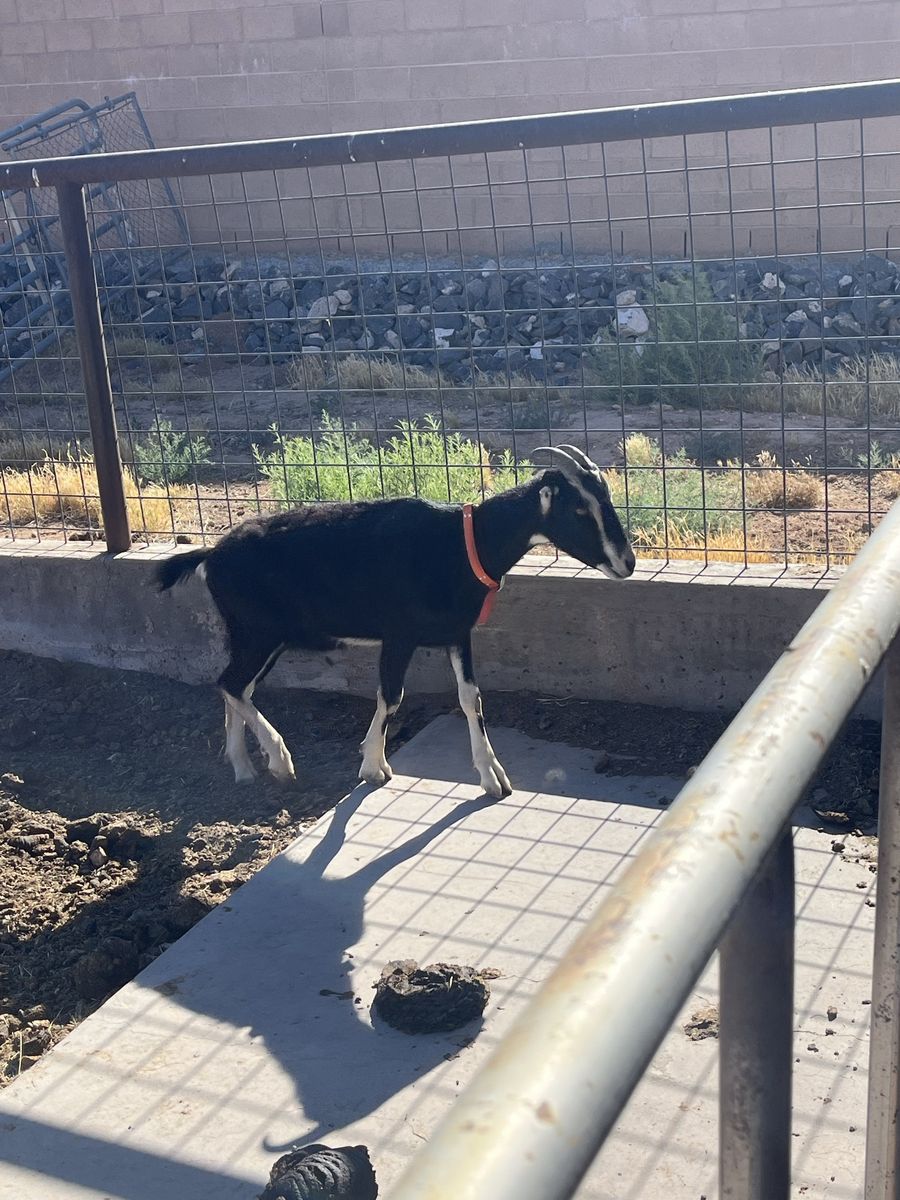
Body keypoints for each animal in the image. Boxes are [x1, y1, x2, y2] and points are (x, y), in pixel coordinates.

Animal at [155, 444, 635, 799]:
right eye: (579, 510)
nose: (627, 563)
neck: (463, 544)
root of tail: (211, 554)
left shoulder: (457, 634)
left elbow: (471, 699)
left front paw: (492, 777)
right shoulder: (399, 635)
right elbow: (391, 697)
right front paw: (373, 766)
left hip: (253, 636)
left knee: (235, 686)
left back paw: (242, 767)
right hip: (259, 632)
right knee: (232, 684)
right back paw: (279, 760)